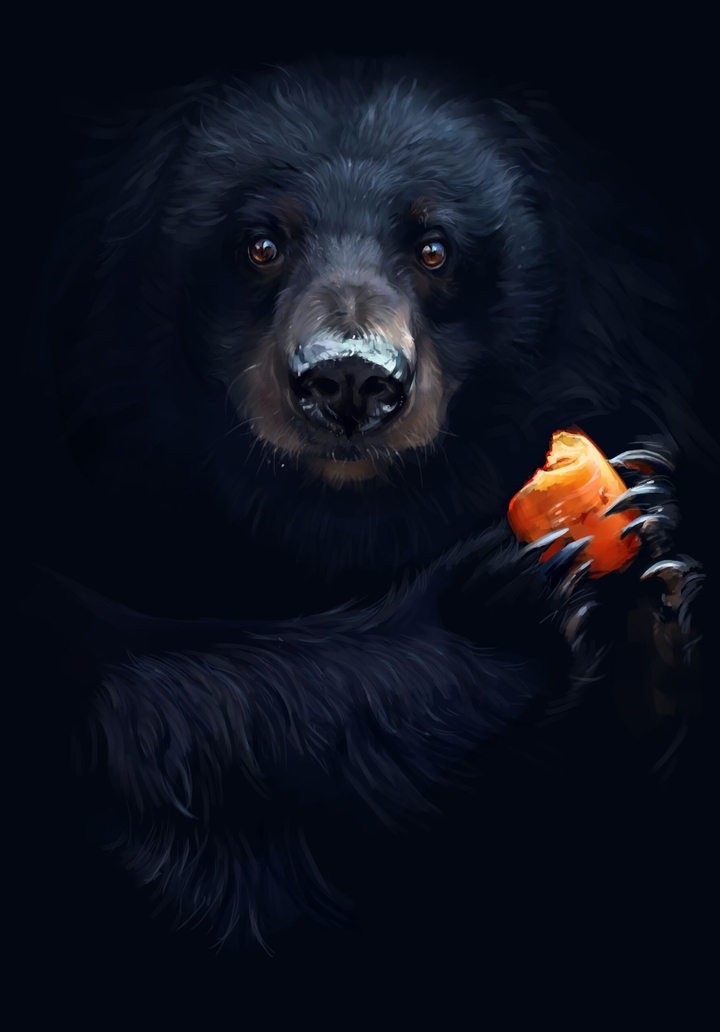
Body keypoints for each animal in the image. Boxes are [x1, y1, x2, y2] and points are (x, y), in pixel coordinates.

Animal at [36, 56, 707, 957]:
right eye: (261, 244)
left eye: (434, 248)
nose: (349, 379)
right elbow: (153, 703)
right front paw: (510, 593)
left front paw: (647, 557)